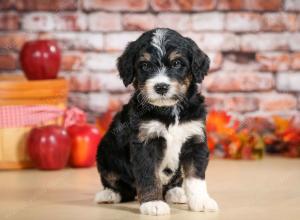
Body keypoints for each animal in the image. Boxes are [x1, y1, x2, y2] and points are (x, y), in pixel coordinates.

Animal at [95, 28, 219, 216]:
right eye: (145, 66)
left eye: (177, 63)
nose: (161, 87)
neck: (169, 111)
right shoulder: (145, 142)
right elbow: (149, 175)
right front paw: (153, 203)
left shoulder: (195, 139)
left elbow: (195, 176)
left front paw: (201, 201)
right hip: (105, 151)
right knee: (115, 182)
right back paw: (109, 194)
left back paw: (176, 192)